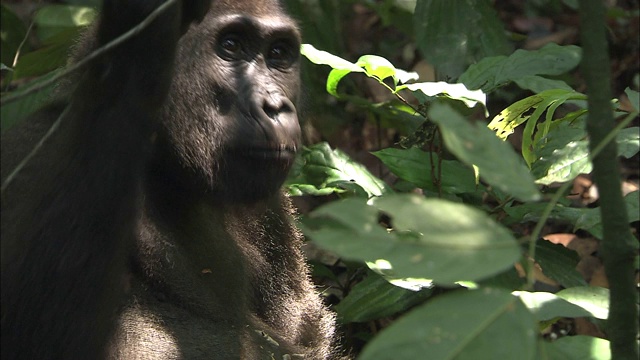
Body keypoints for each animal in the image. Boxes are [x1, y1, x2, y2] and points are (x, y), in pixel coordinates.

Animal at [1, 1, 340, 358]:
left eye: (278, 53)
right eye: (231, 46)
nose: (274, 106)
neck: (167, 171)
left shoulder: (272, 207)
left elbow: (306, 329)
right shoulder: (32, 145)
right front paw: (134, 56)